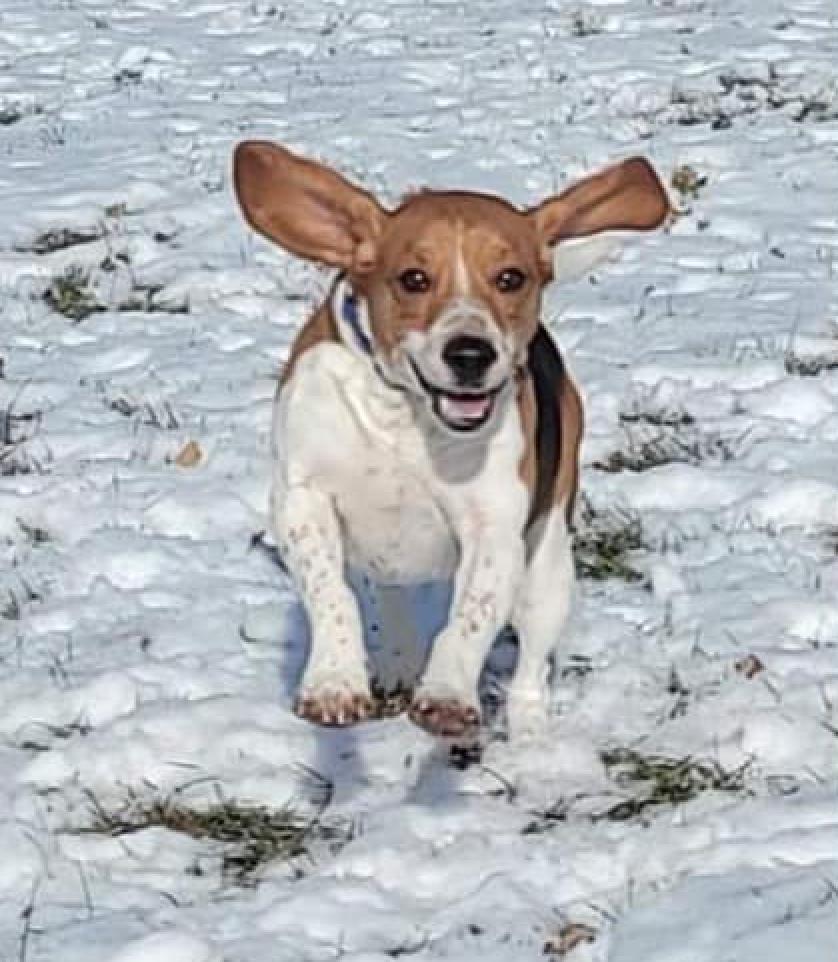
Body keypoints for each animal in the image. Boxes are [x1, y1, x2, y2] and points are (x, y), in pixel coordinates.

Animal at [233, 142, 672, 736]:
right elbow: (332, 594)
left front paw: (445, 693)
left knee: (530, 669)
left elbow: (470, 616)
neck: (406, 416)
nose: (470, 353)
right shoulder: (303, 497)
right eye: (413, 279)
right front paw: (334, 682)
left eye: (510, 278)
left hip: (549, 564)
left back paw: (530, 737)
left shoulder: (494, 528)